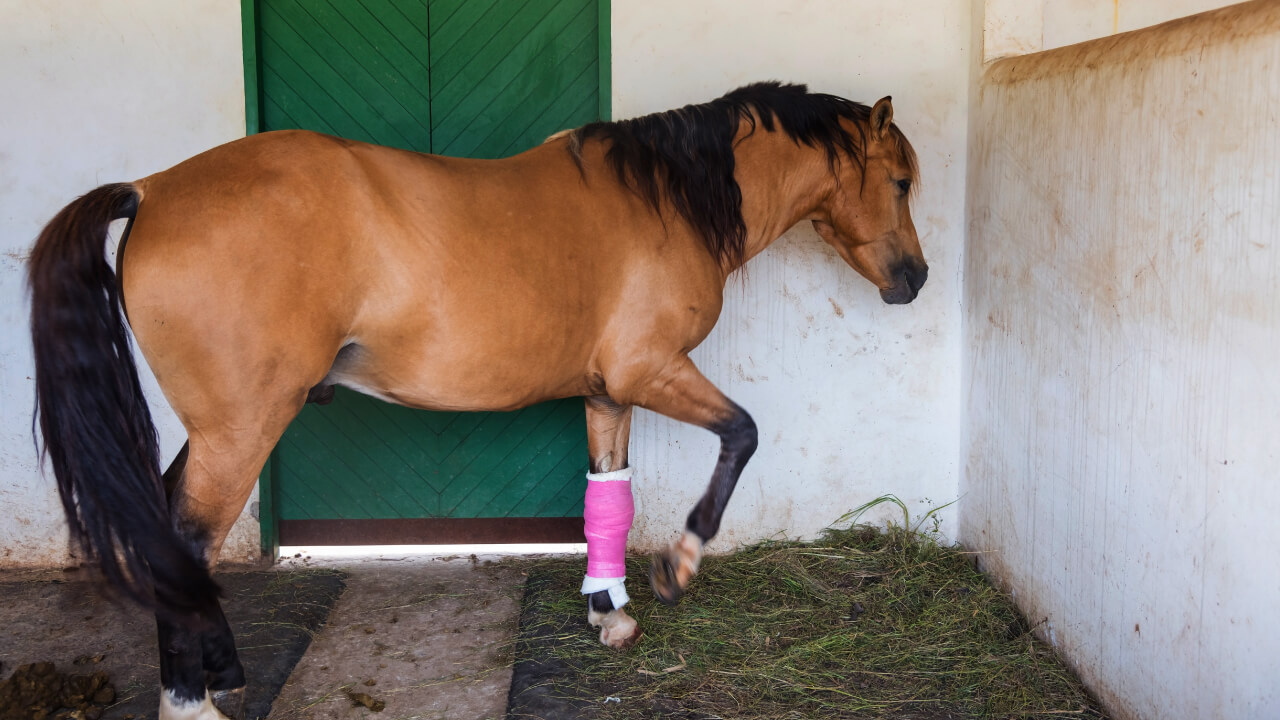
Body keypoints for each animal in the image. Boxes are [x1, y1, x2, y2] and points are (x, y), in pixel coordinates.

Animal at [27, 81, 924, 720]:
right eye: (903, 181)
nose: (913, 278)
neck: (664, 202)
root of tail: (151, 190)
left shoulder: (609, 393)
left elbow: (609, 494)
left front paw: (609, 612)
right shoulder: (650, 371)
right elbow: (742, 436)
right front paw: (679, 565)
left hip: (221, 426)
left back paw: (221, 676)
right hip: (242, 426)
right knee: (183, 537)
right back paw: (191, 703)